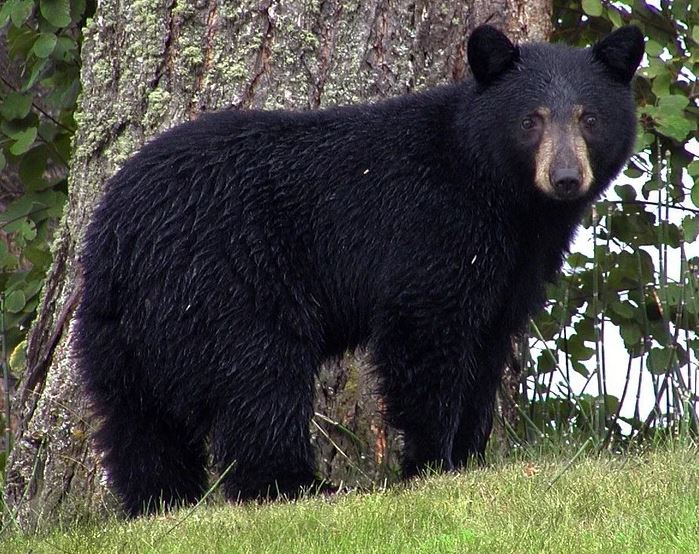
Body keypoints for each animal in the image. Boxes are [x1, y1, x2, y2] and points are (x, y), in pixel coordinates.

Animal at [74, 24, 644, 517]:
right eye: (531, 119)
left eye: (589, 118)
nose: (566, 177)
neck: (503, 197)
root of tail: (120, 235)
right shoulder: (433, 229)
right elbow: (424, 336)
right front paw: (431, 464)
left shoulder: (514, 266)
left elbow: (487, 347)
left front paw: (469, 458)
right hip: (226, 282)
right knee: (260, 381)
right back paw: (299, 486)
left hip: (118, 329)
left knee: (137, 422)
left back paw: (160, 502)